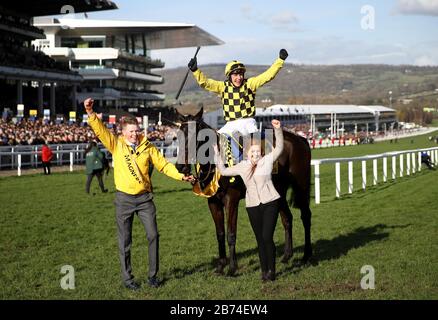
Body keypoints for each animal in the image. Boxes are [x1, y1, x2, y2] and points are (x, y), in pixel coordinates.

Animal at [174, 109, 312, 276]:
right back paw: (287, 255)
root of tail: (300, 139)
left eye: (196, 135)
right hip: (278, 190)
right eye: (178, 136)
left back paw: (307, 255)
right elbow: (220, 234)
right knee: (287, 218)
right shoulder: (213, 202)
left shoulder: (231, 199)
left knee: (306, 216)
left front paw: (232, 268)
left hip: (301, 185)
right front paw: (220, 266)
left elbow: (231, 234)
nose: (181, 167)